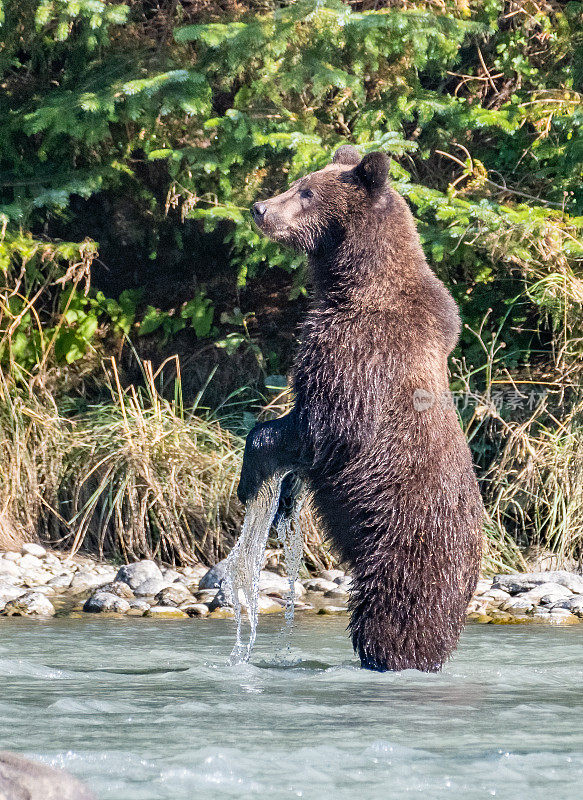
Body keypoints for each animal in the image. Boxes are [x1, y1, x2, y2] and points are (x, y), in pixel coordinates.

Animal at [237, 147, 484, 672]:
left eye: (307, 192)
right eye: (299, 182)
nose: (260, 208)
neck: (352, 283)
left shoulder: (359, 355)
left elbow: (317, 427)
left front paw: (253, 476)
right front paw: (283, 499)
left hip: (405, 556)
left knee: (392, 621)